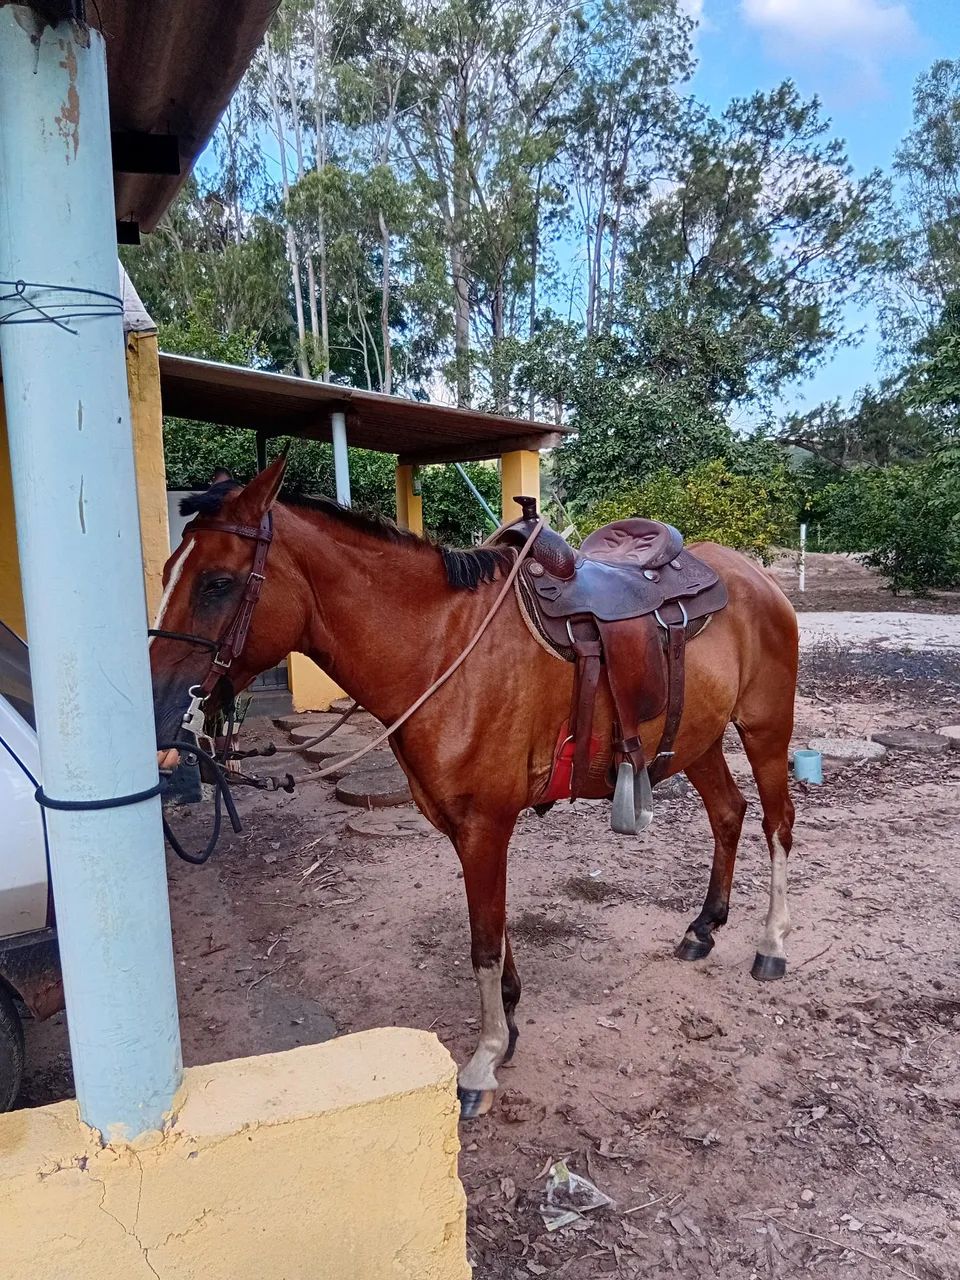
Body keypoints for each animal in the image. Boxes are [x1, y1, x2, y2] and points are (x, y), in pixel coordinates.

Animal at [150, 455, 799, 1118]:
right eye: (171, 572)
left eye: (217, 582)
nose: (159, 708)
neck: (442, 646)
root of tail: (753, 573)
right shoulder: (466, 827)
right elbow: (497, 930)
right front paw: (507, 1025)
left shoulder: (486, 825)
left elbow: (483, 942)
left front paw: (483, 1062)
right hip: (699, 739)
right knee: (728, 813)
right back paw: (703, 928)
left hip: (765, 729)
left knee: (777, 823)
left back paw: (771, 944)